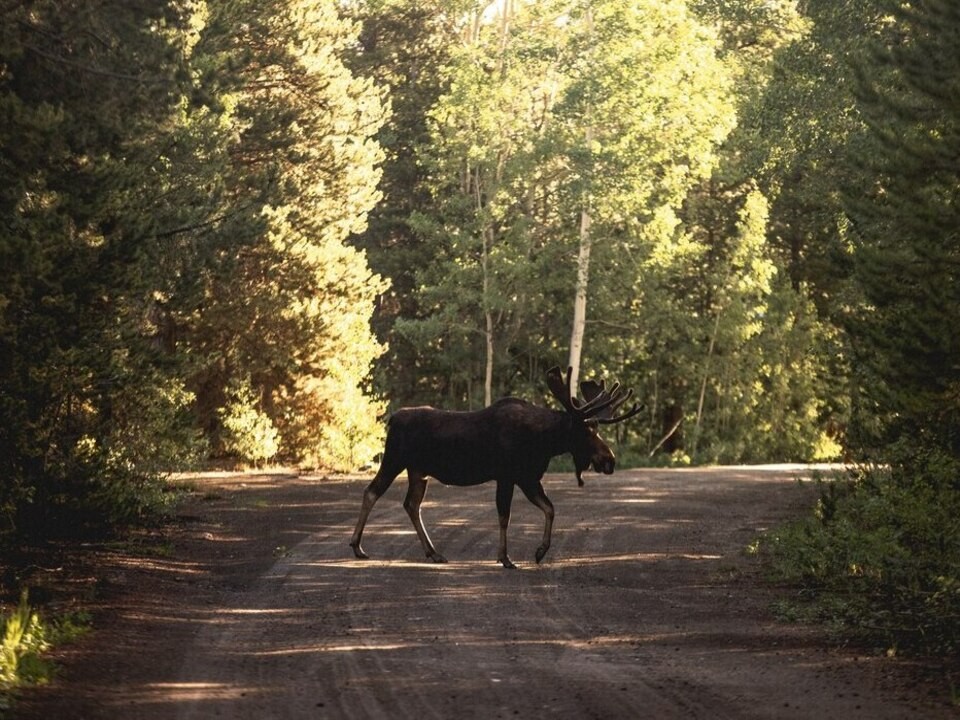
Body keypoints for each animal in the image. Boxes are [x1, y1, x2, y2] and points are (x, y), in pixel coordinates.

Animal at [348, 366, 640, 568]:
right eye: (586, 431)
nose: (609, 460)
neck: (542, 442)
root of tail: (392, 419)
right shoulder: (508, 475)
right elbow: (504, 516)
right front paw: (505, 558)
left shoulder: (528, 477)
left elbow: (550, 508)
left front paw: (540, 551)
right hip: (395, 459)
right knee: (372, 491)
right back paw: (357, 546)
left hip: (419, 471)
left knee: (411, 504)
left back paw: (433, 552)